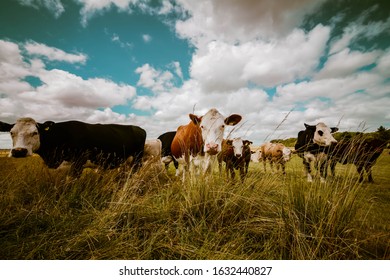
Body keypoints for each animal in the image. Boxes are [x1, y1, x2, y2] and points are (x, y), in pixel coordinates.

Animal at [0, 117, 146, 175]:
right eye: (11, 132)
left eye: (35, 132)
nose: (19, 151)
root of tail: (138, 128)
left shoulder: (78, 164)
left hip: (137, 160)